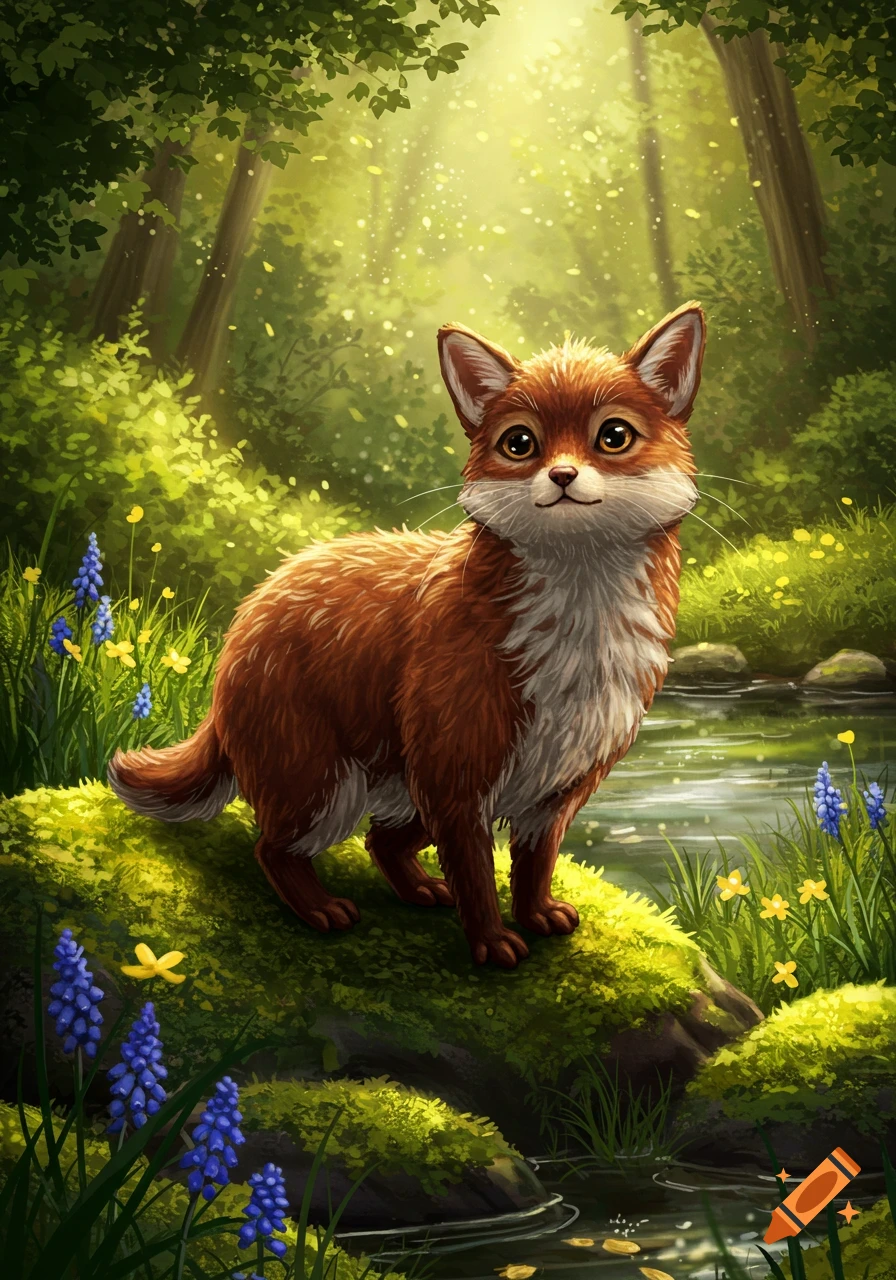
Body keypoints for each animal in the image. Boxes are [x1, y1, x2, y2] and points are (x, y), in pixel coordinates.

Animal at [108, 302, 705, 968]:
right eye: (520, 443)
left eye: (613, 436)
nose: (563, 474)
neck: (576, 642)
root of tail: (247, 617)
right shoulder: (457, 772)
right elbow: (476, 873)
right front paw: (491, 942)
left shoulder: (555, 786)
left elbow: (534, 866)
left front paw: (536, 916)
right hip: (325, 785)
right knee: (276, 847)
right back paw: (321, 910)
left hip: (401, 789)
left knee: (380, 841)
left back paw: (419, 889)